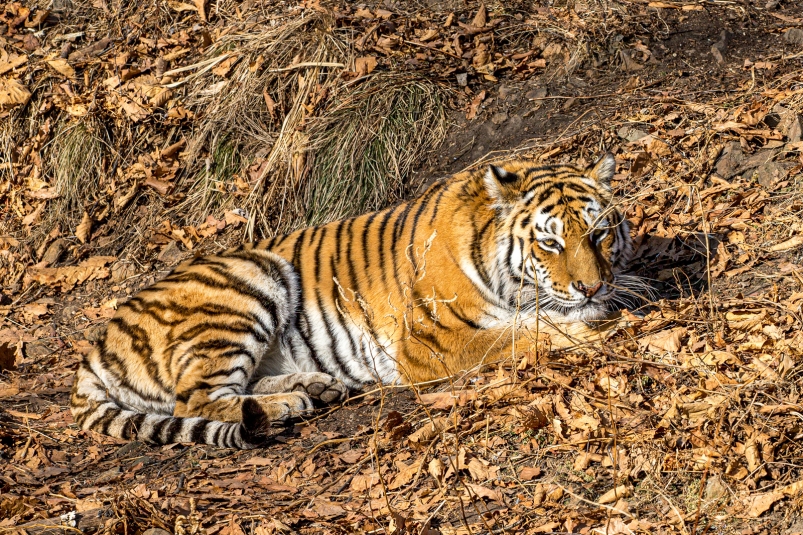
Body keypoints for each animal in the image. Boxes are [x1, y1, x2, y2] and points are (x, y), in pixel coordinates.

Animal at [70, 154, 636, 448]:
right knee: (196, 400)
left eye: (600, 233)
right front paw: (593, 328)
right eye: (550, 243)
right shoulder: (433, 341)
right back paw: (284, 405)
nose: (592, 287)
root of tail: (97, 345)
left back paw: (312, 390)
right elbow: (523, 335)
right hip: (248, 278)